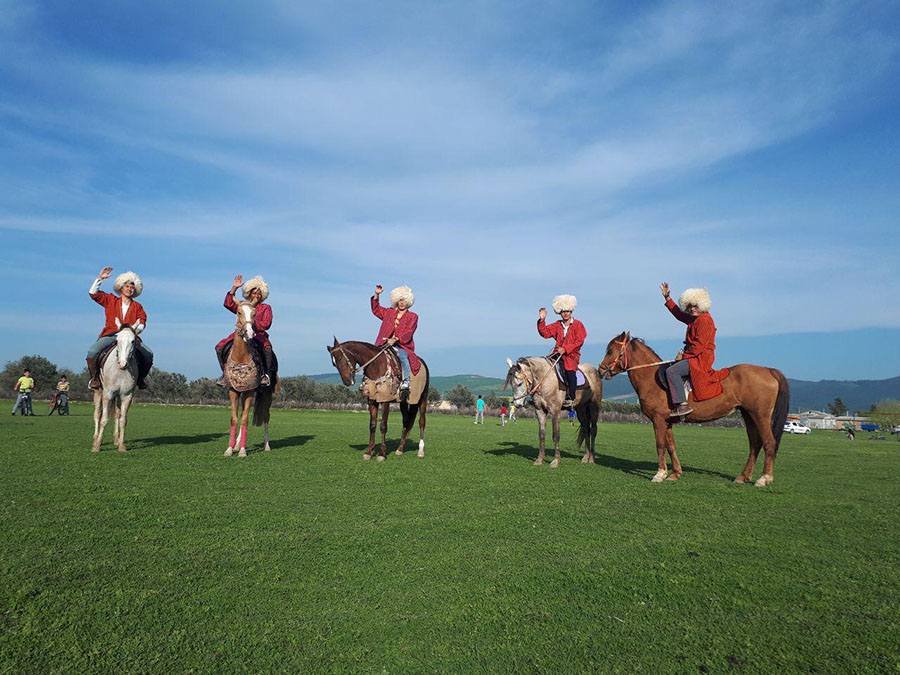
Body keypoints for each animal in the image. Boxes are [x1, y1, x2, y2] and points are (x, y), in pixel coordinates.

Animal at [94, 322, 140, 454]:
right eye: (117, 340)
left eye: (133, 341)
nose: (123, 364)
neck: (120, 371)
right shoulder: (108, 394)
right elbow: (104, 419)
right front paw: (97, 445)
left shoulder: (127, 396)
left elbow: (123, 420)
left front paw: (122, 446)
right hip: (98, 392)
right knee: (97, 413)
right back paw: (95, 438)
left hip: (118, 397)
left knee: (117, 415)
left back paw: (116, 440)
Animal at [222, 302, 274, 456]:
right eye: (238, 312)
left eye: (254, 314)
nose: (249, 333)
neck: (240, 357)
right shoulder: (233, 391)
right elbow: (234, 419)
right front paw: (230, 449)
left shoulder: (250, 391)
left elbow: (244, 419)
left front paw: (243, 451)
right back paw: (237, 444)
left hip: (266, 394)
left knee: (266, 417)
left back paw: (266, 445)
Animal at [600, 332, 792, 486]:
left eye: (610, 350)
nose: (601, 370)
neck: (651, 379)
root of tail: (768, 370)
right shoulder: (667, 421)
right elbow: (671, 446)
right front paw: (675, 473)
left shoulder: (658, 420)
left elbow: (660, 445)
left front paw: (660, 474)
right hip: (749, 415)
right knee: (755, 444)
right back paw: (743, 477)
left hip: (760, 416)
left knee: (769, 443)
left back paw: (764, 478)